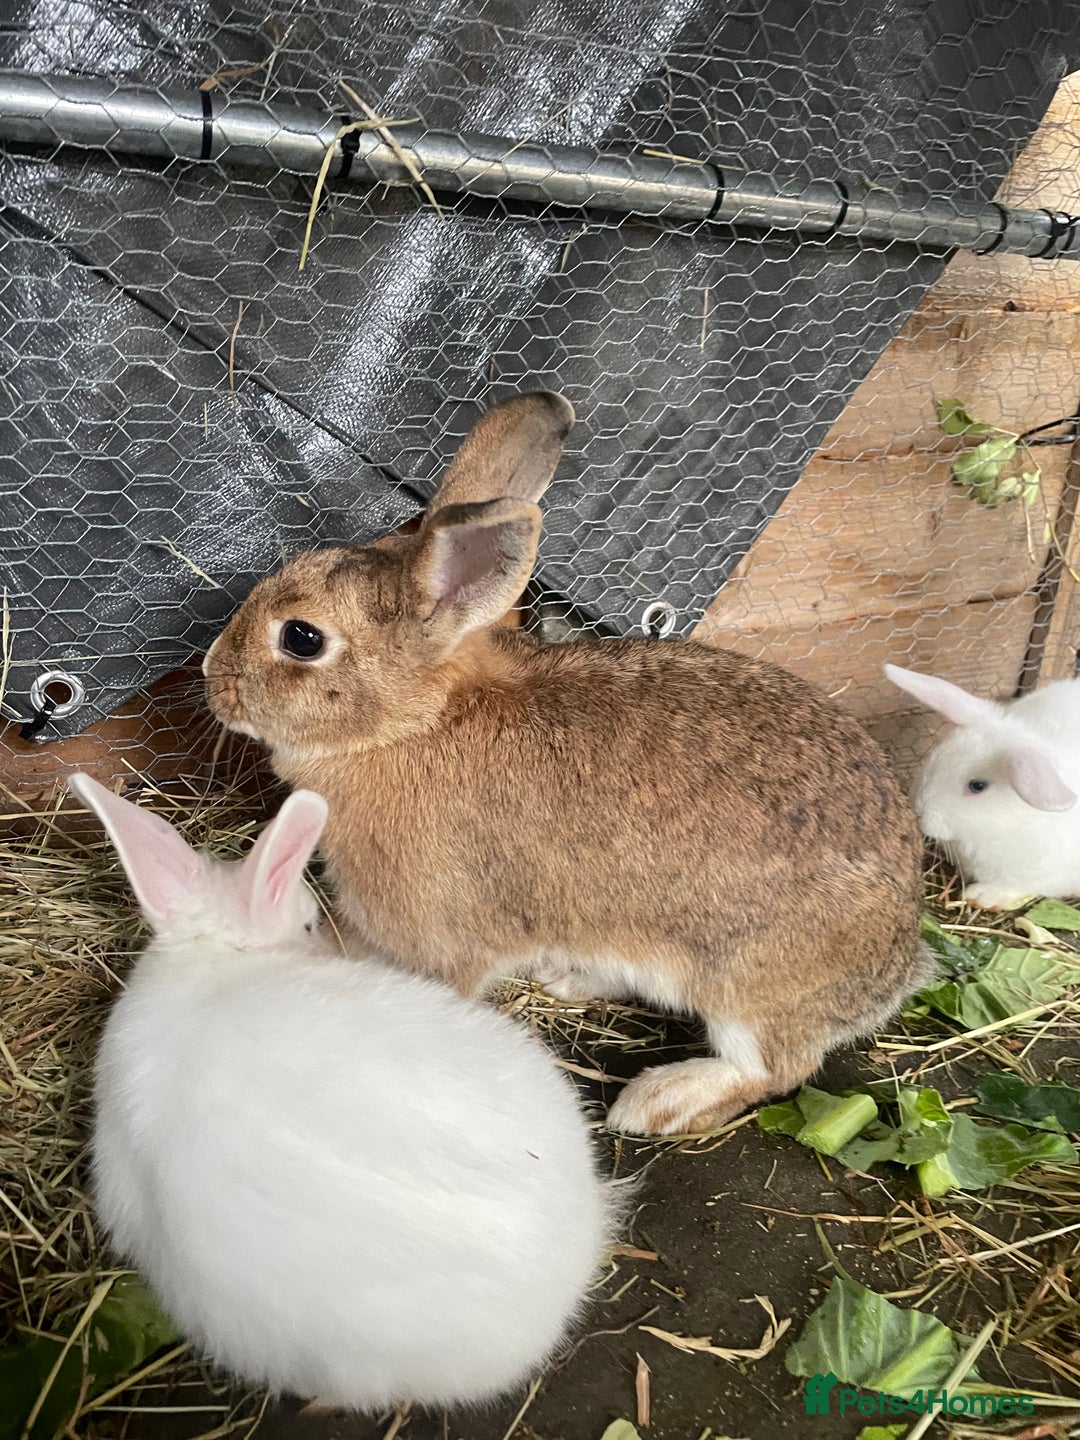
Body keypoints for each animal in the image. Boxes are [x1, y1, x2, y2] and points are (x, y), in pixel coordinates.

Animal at [203, 390, 928, 1139]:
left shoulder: (442, 938)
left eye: (301, 638)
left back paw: (658, 1102)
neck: (409, 725)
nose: (210, 677)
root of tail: (898, 961)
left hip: (744, 988)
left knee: (771, 1070)